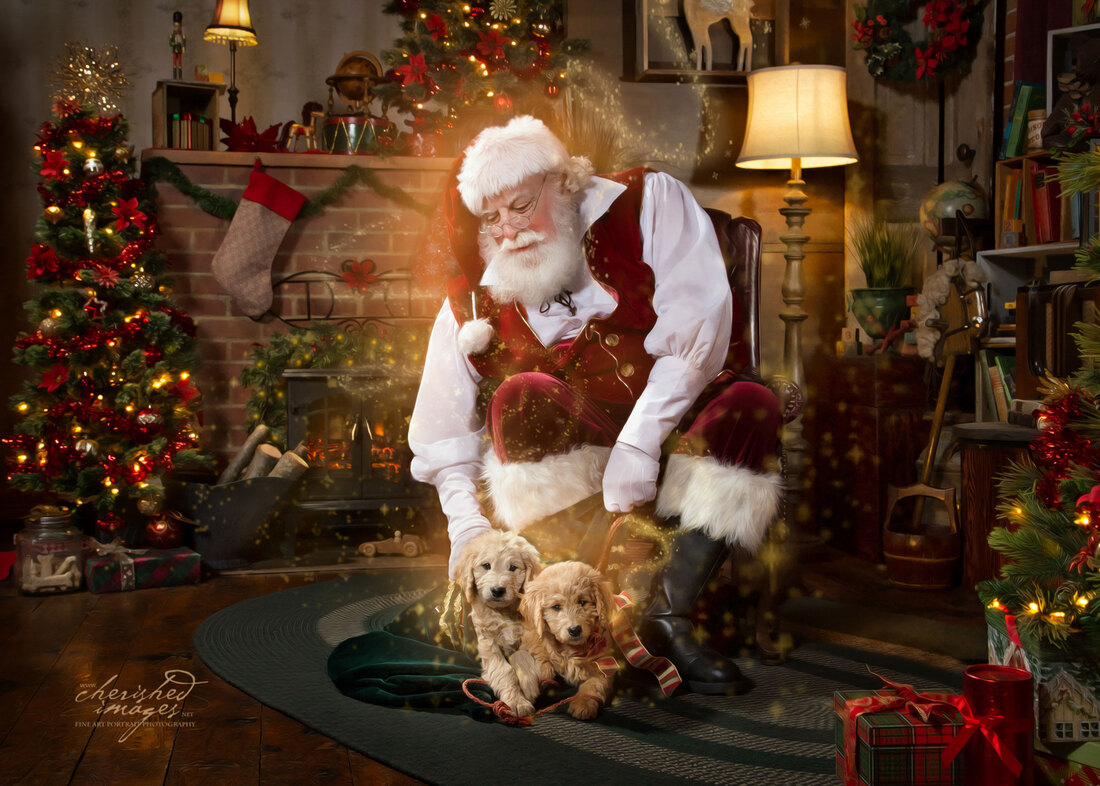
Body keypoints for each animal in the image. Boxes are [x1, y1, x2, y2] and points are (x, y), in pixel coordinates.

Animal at [453, 529, 543, 721]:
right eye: (486, 565)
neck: (503, 612)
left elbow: (522, 655)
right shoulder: (487, 643)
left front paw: (528, 685)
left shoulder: (523, 636)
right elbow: (504, 670)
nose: (497, 590)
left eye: (513, 567)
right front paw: (517, 701)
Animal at [517, 560, 616, 721]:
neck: (568, 648)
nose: (574, 629)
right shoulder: (531, 640)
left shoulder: (604, 663)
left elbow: (594, 684)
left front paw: (583, 704)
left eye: (582, 602)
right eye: (556, 607)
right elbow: (535, 659)